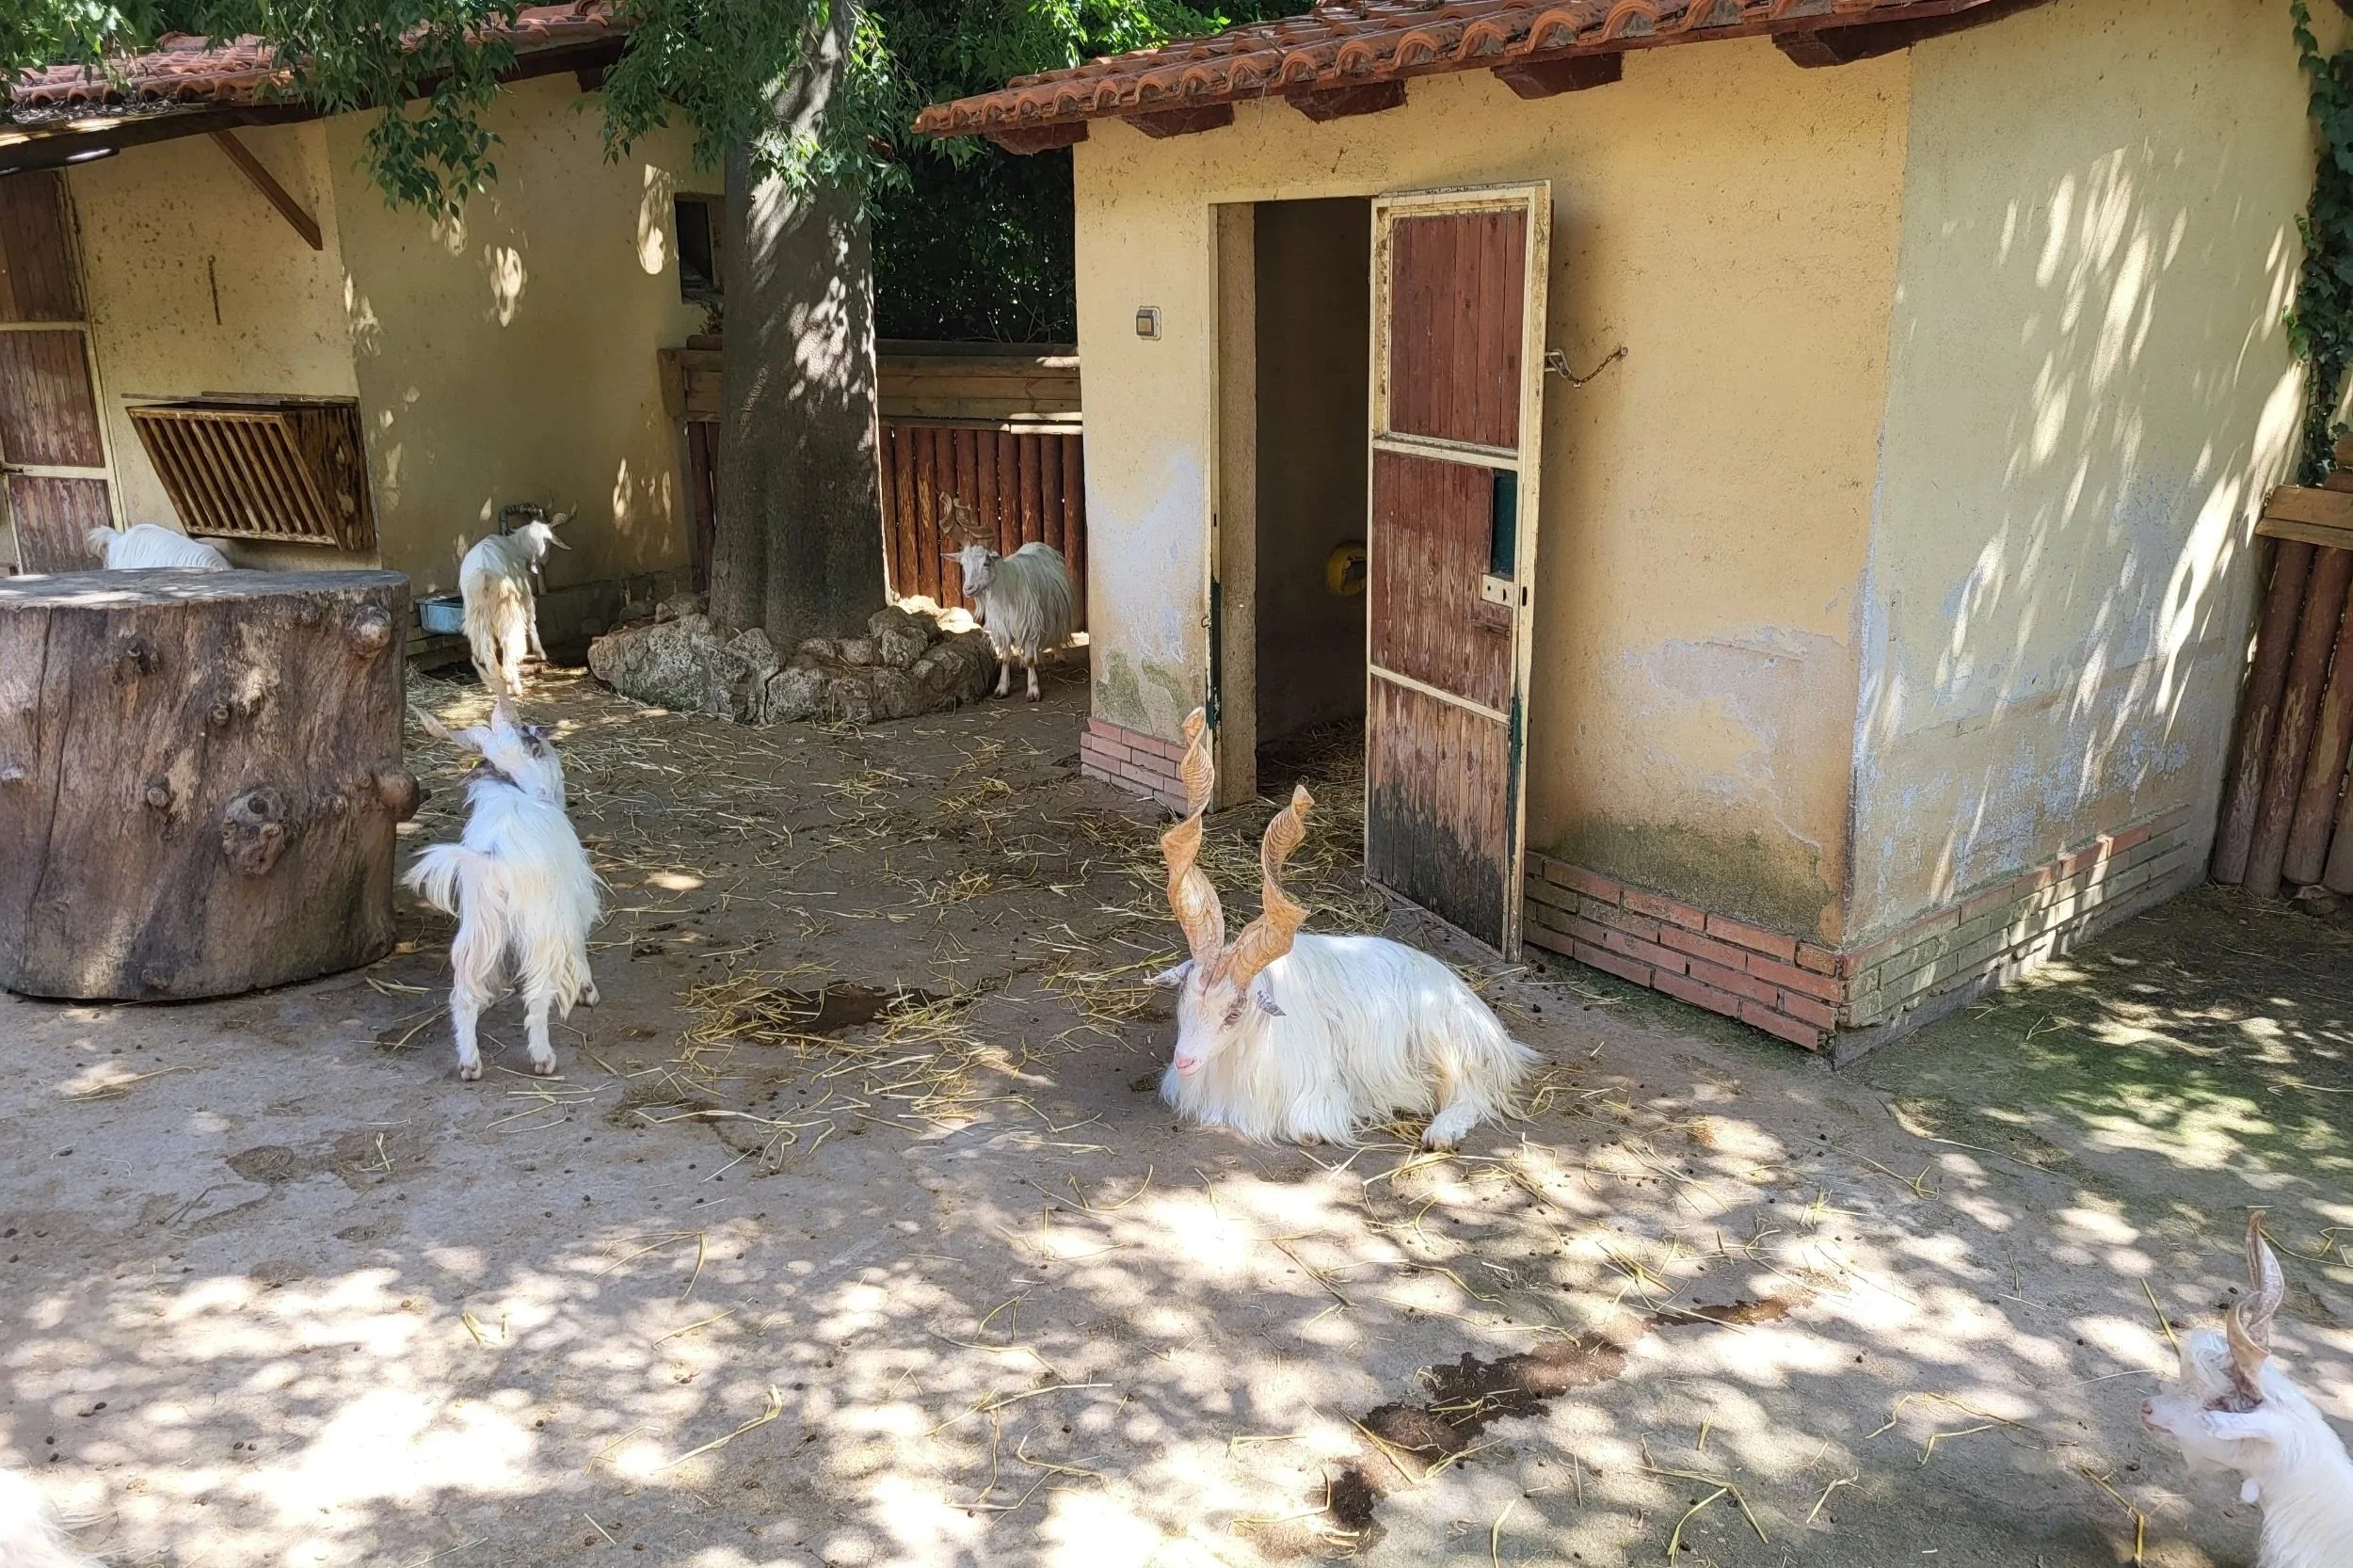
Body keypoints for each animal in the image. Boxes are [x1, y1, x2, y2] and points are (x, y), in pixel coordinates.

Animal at [402, 697, 599, 1081]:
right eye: (535, 744)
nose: (542, 792)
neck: (515, 789)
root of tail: (497, 861)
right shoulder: (572, 902)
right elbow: (579, 946)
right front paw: (588, 991)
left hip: (478, 930)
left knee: (463, 995)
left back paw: (470, 1063)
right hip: (539, 930)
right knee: (537, 993)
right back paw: (543, 1058)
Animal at [459, 511, 572, 698]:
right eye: (547, 541)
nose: (545, 561)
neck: (516, 546)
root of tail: (484, 573)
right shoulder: (524, 592)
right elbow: (531, 618)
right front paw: (540, 653)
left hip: (477, 613)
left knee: (487, 647)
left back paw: (494, 682)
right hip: (507, 607)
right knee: (508, 640)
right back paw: (515, 685)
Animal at [942, 502, 1073, 702]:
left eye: (986, 562)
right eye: (963, 564)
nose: (968, 588)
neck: (1005, 591)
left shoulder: (1030, 624)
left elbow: (1030, 658)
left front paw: (1033, 690)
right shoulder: (1002, 627)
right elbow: (1004, 657)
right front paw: (1001, 688)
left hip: (1055, 611)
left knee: (1055, 631)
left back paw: (1058, 655)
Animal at [1149, 709, 1533, 1149]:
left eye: (1234, 1011)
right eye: (1184, 994)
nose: (1184, 1060)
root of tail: (1494, 1033)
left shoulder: (1318, 1095)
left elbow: (1308, 1130)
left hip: (1448, 1041)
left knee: (1473, 1092)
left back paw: (1440, 1131)